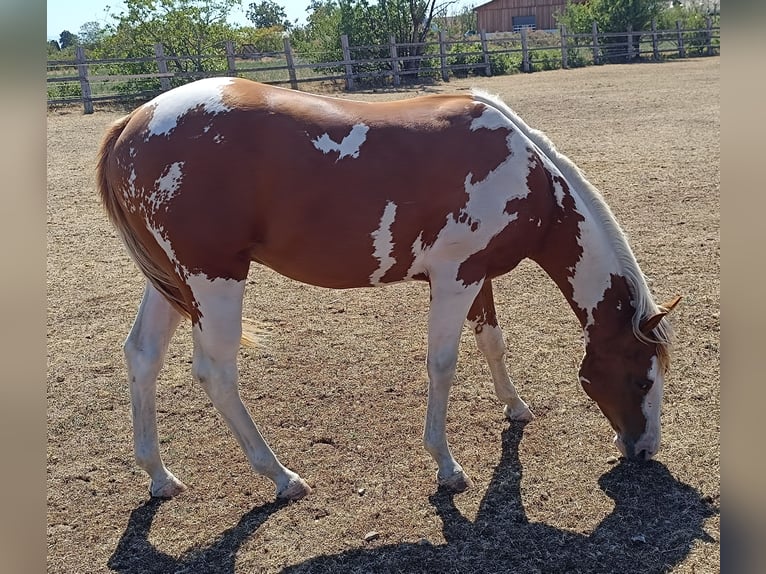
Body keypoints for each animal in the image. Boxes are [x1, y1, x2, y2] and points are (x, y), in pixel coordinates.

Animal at [96, 77, 680, 501]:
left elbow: (492, 343)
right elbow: (443, 364)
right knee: (216, 372)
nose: (644, 449)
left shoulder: (478, 275)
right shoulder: (454, 278)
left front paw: (515, 407)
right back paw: (280, 476)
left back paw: (159, 475)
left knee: (142, 355)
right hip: (213, 278)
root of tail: (134, 122)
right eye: (643, 379)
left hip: (171, 281)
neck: (529, 174)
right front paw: (446, 465)